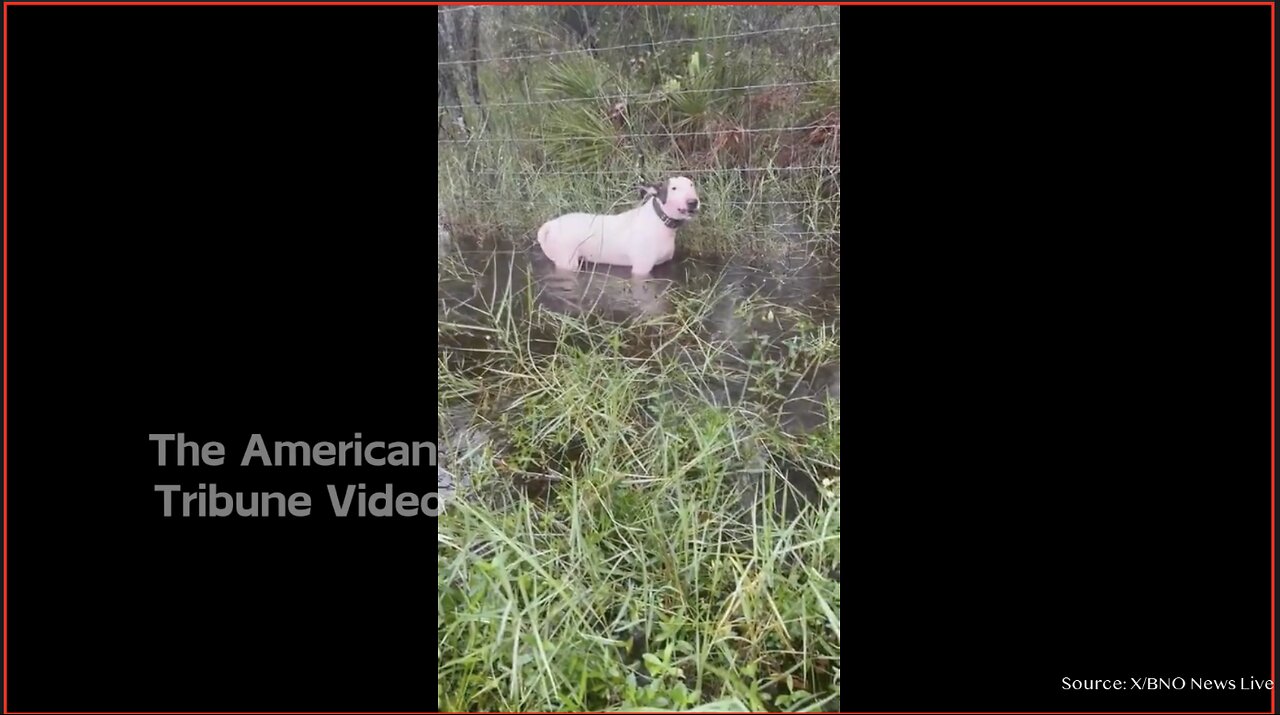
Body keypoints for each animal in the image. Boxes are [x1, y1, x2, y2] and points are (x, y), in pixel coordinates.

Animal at [537, 175, 706, 275]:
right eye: (673, 188)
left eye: (691, 185)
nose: (693, 202)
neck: (659, 220)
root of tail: (550, 225)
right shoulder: (641, 269)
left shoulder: (664, 264)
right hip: (567, 261)